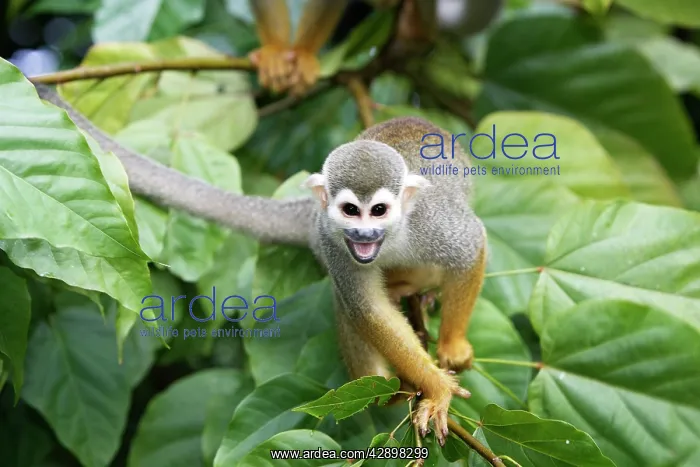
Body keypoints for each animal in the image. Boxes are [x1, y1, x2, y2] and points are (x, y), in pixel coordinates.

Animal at [35, 84, 486, 445]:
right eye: (350, 211)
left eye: (378, 210)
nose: (362, 234)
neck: (390, 239)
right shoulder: (332, 240)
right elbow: (368, 310)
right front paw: (433, 386)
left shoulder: (431, 223)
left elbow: (472, 248)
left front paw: (452, 348)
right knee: (349, 301)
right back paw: (386, 386)